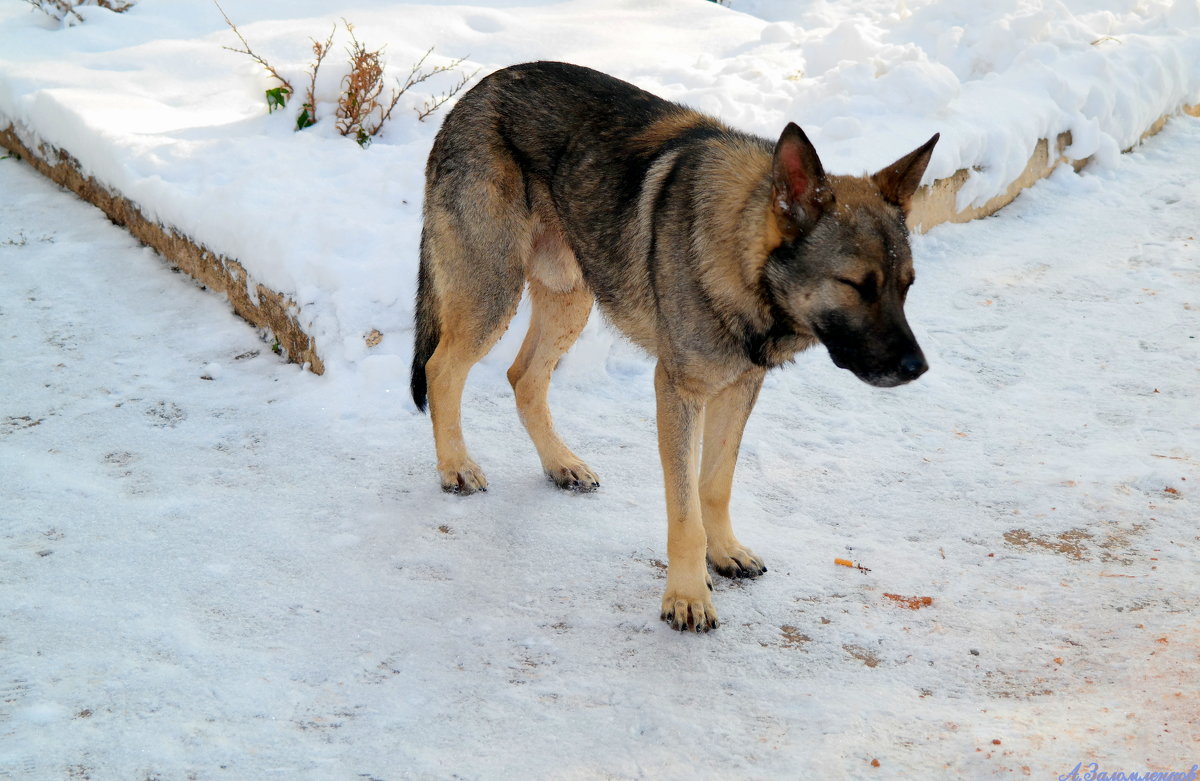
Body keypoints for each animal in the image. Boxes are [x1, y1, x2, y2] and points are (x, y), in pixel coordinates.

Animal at [412, 62, 936, 633]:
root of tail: (476, 91)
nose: (918, 368)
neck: (738, 250)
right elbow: (684, 511)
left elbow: (715, 485)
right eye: (856, 285)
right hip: (493, 293)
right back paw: (456, 467)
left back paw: (560, 464)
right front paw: (687, 596)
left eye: (907, 286)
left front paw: (723, 551)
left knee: (522, 377)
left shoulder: (737, 390)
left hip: (571, 298)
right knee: (442, 368)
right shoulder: (678, 391)